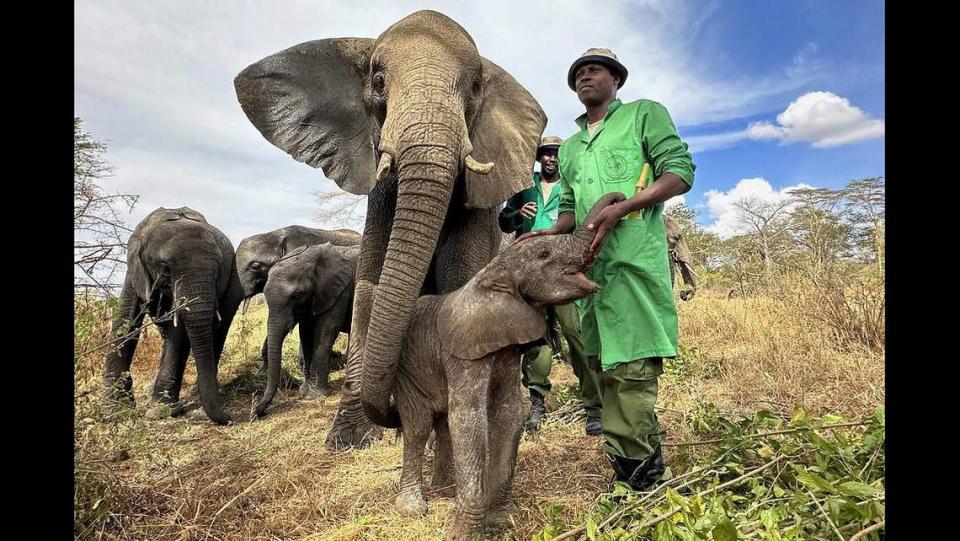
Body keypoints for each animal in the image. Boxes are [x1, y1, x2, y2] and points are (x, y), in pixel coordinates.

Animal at [101, 205, 242, 424]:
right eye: (165, 268)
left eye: (218, 270)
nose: (229, 417)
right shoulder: (136, 270)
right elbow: (127, 318)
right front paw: (115, 411)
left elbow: (180, 330)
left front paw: (160, 411)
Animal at [251, 242, 360, 418]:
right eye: (265, 294)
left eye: (296, 295)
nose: (257, 413)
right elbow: (306, 335)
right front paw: (304, 392)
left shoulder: (340, 291)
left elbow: (325, 333)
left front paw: (316, 395)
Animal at [384, 193, 624, 536]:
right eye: (544, 253)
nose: (620, 199)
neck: (492, 274)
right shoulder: (463, 352)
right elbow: (469, 419)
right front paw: (463, 533)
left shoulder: (508, 343)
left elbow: (508, 411)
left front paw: (500, 517)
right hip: (405, 371)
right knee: (418, 426)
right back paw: (414, 507)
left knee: (441, 424)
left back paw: (445, 490)